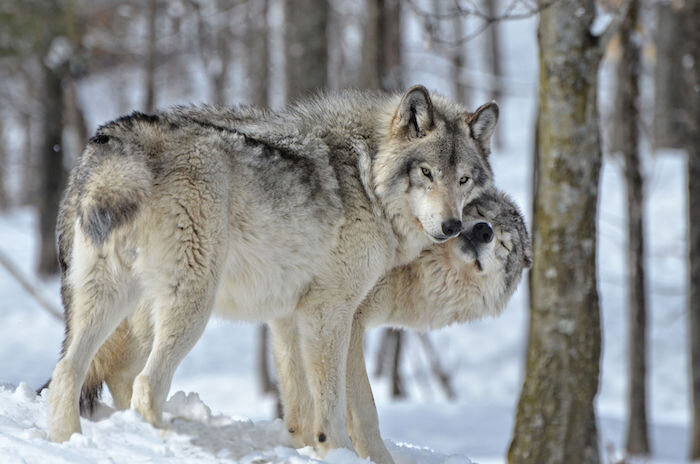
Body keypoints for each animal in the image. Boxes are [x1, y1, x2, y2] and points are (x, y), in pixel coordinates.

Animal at [46, 85, 500, 458]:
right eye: (426, 173)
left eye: (463, 179)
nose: (452, 226)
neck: (366, 178)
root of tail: (116, 139)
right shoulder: (329, 313)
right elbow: (333, 405)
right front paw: (336, 450)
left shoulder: (289, 316)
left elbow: (304, 405)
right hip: (191, 305)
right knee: (145, 384)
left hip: (111, 299)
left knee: (69, 371)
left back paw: (69, 442)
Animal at [282, 186, 532, 464]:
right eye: (480, 213)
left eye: (505, 244)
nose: (484, 231)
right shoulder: (347, 318)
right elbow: (365, 410)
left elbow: (299, 399)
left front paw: (303, 447)